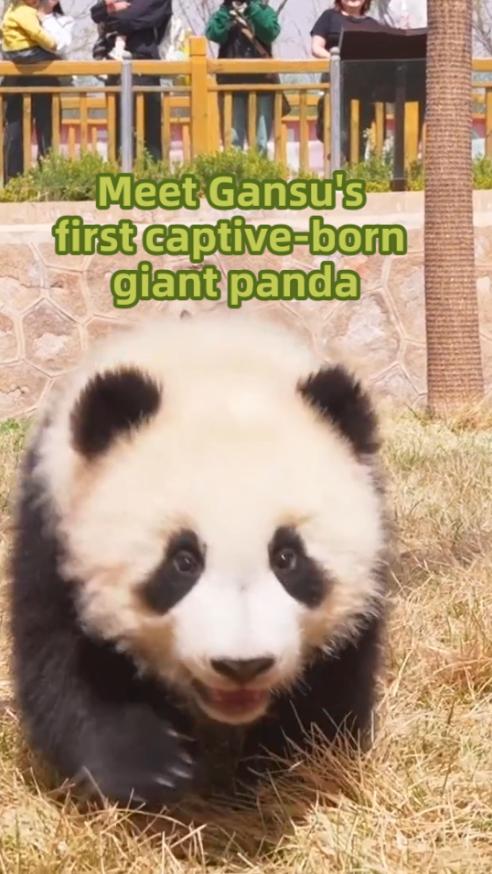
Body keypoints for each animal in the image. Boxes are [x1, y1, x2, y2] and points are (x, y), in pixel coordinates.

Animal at [9, 311, 390, 808]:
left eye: (287, 557)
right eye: (182, 561)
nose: (243, 665)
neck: (213, 368)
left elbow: (337, 673)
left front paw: (286, 764)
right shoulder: (51, 531)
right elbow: (66, 664)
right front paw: (152, 768)